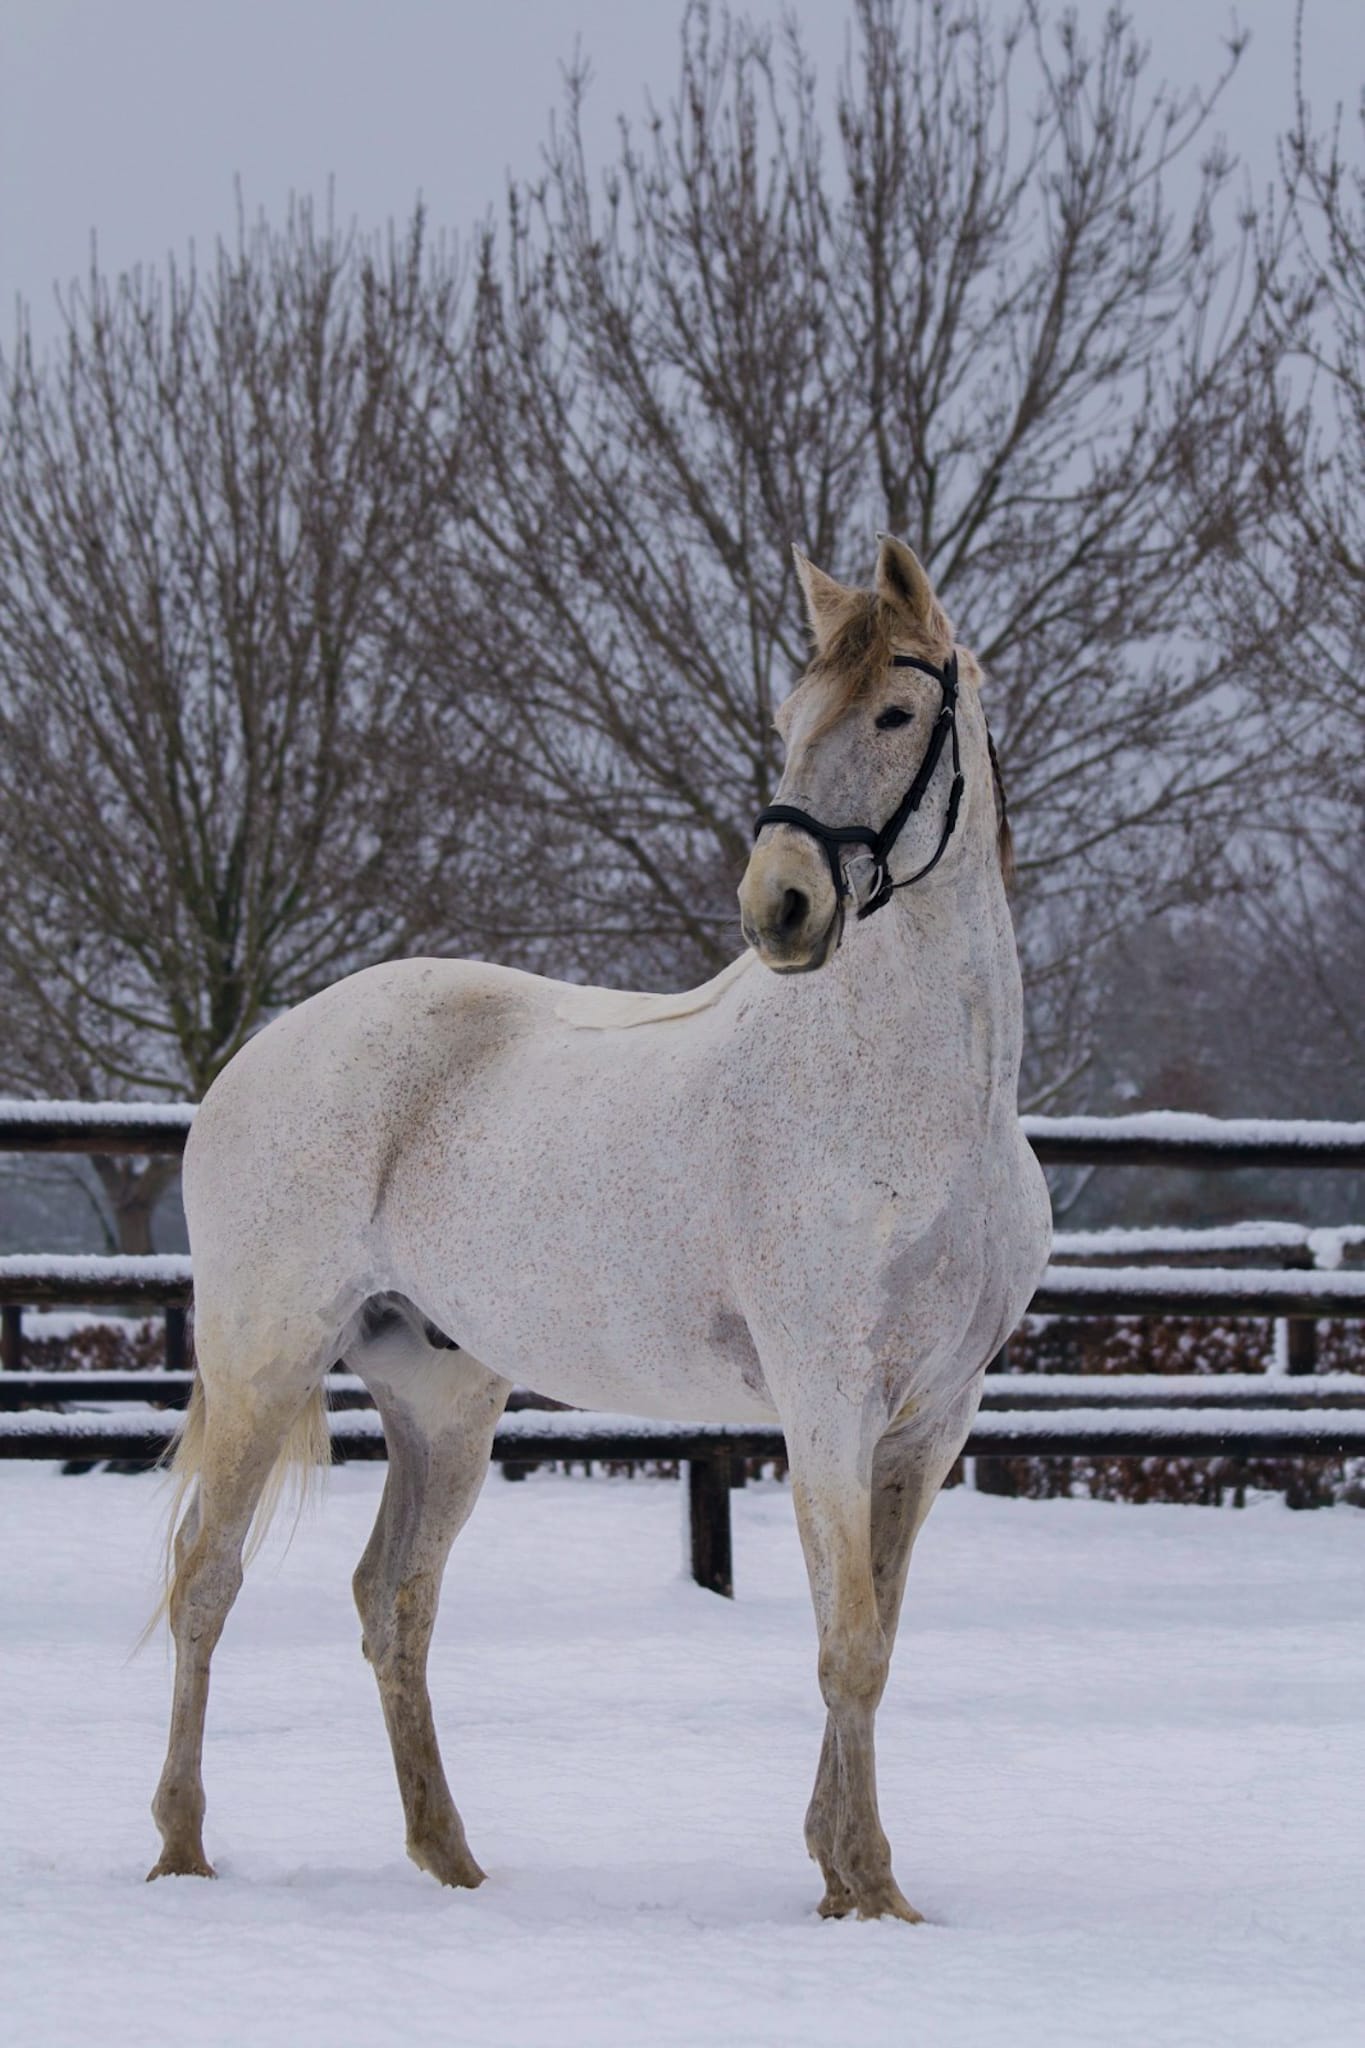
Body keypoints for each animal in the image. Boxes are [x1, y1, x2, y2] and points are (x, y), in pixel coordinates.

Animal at [148, 533, 1051, 1922]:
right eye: (792, 717)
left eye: (895, 714)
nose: (780, 906)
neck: (923, 1103)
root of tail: (252, 1064)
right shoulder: (828, 1405)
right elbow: (846, 1642)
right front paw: (864, 1886)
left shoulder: (933, 1419)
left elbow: (878, 1638)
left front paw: (845, 1865)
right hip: (266, 1358)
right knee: (208, 1577)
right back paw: (184, 1849)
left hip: (441, 1398)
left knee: (393, 1600)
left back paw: (451, 1858)